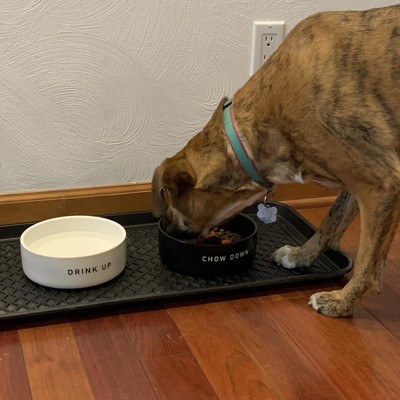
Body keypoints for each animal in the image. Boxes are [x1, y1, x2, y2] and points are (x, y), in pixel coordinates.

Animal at [152, 3, 400, 316]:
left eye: (172, 198)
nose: (168, 228)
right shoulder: (358, 179)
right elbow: (332, 221)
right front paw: (300, 256)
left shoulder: (380, 185)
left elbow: (368, 261)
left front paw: (342, 303)